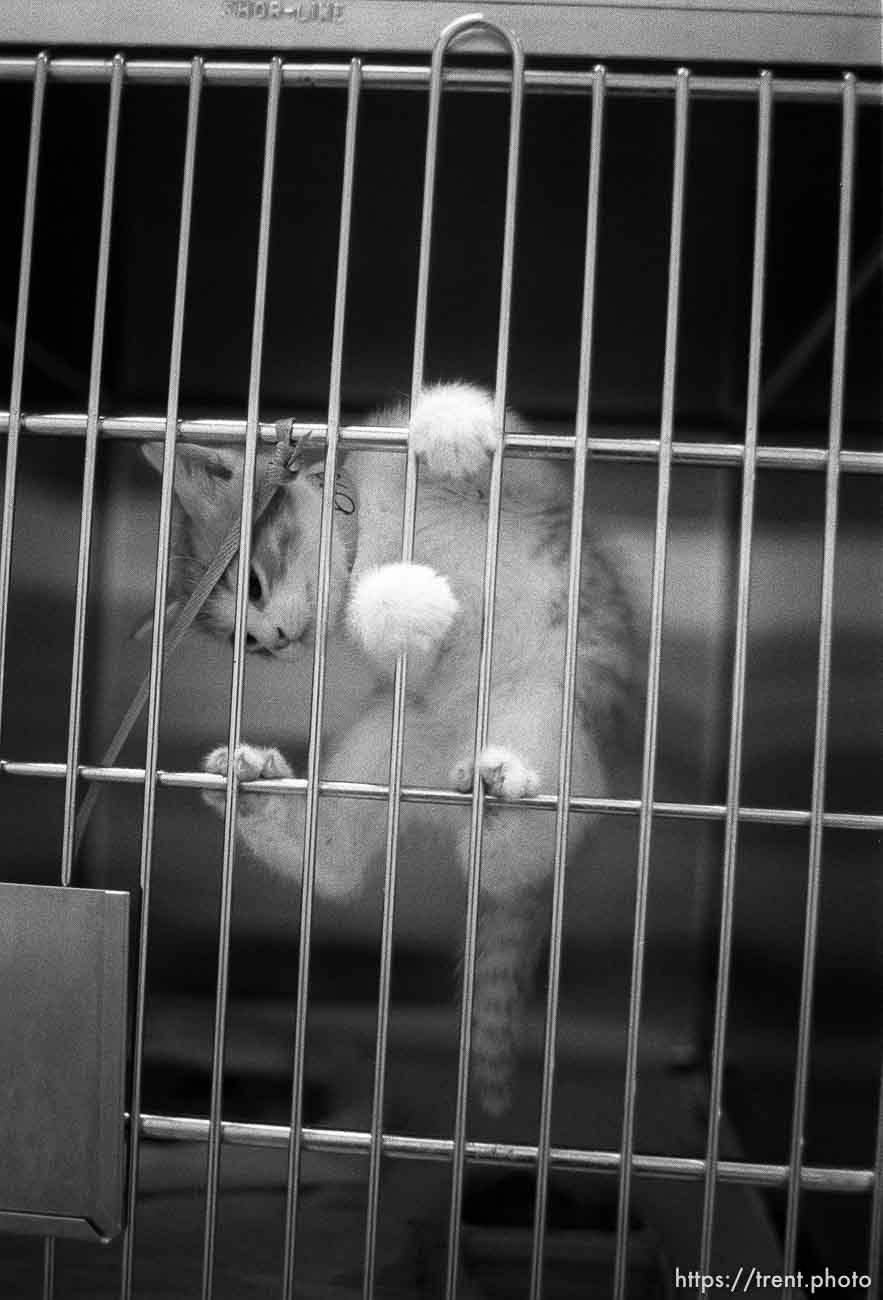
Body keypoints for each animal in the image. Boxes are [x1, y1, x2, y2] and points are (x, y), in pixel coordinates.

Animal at [141, 379, 632, 1112]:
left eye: (254, 583)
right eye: (244, 644)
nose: (277, 642)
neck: (367, 523)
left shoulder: (533, 493)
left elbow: (507, 461)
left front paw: (451, 423)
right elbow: (388, 634)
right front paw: (399, 599)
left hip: (551, 709)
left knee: (511, 854)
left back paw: (500, 797)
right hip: (397, 741)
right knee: (354, 862)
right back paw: (264, 798)